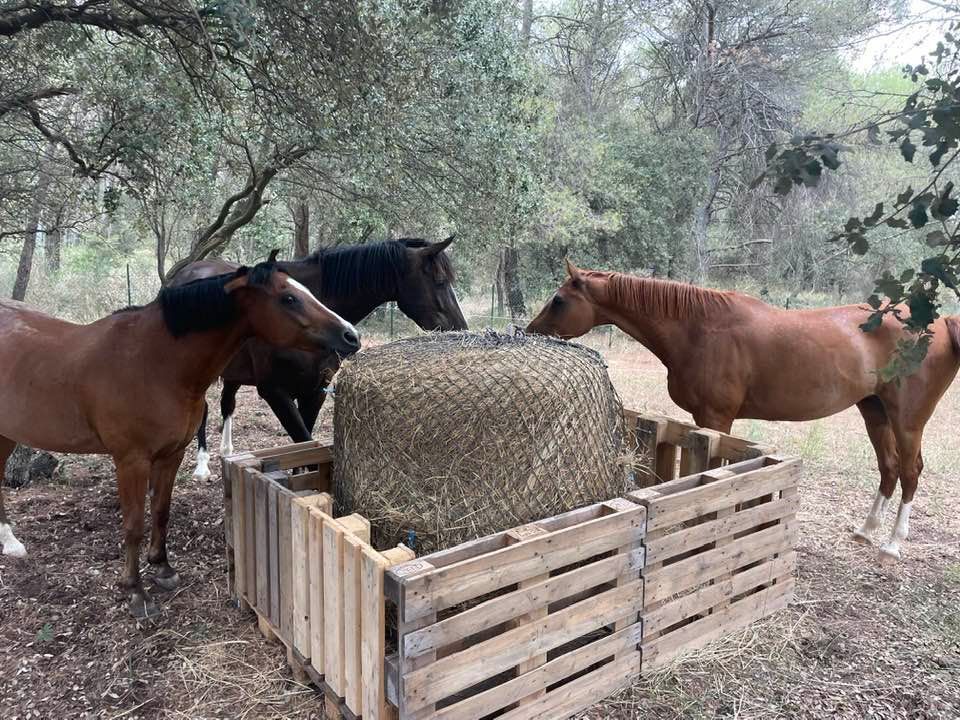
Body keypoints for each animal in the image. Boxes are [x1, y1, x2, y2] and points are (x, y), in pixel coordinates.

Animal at [0, 258, 360, 617]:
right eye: (288, 298)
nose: (351, 336)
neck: (152, 362)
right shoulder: (131, 461)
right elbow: (133, 524)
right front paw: (134, 590)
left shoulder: (171, 454)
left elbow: (161, 510)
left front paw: (162, 567)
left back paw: (10, 542)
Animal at [172, 237, 467, 478]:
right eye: (440, 281)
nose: (460, 328)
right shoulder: (274, 391)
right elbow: (302, 439)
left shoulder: (315, 391)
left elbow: (304, 442)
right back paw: (202, 466)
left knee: (228, 403)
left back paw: (227, 451)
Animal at [527, 260, 960, 563]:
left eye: (559, 300)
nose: (530, 332)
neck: (699, 328)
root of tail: (940, 323)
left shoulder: (715, 418)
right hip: (874, 411)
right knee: (889, 467)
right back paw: (867, 530)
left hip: (907, 419)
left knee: (910, 471)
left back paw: (892, 545)